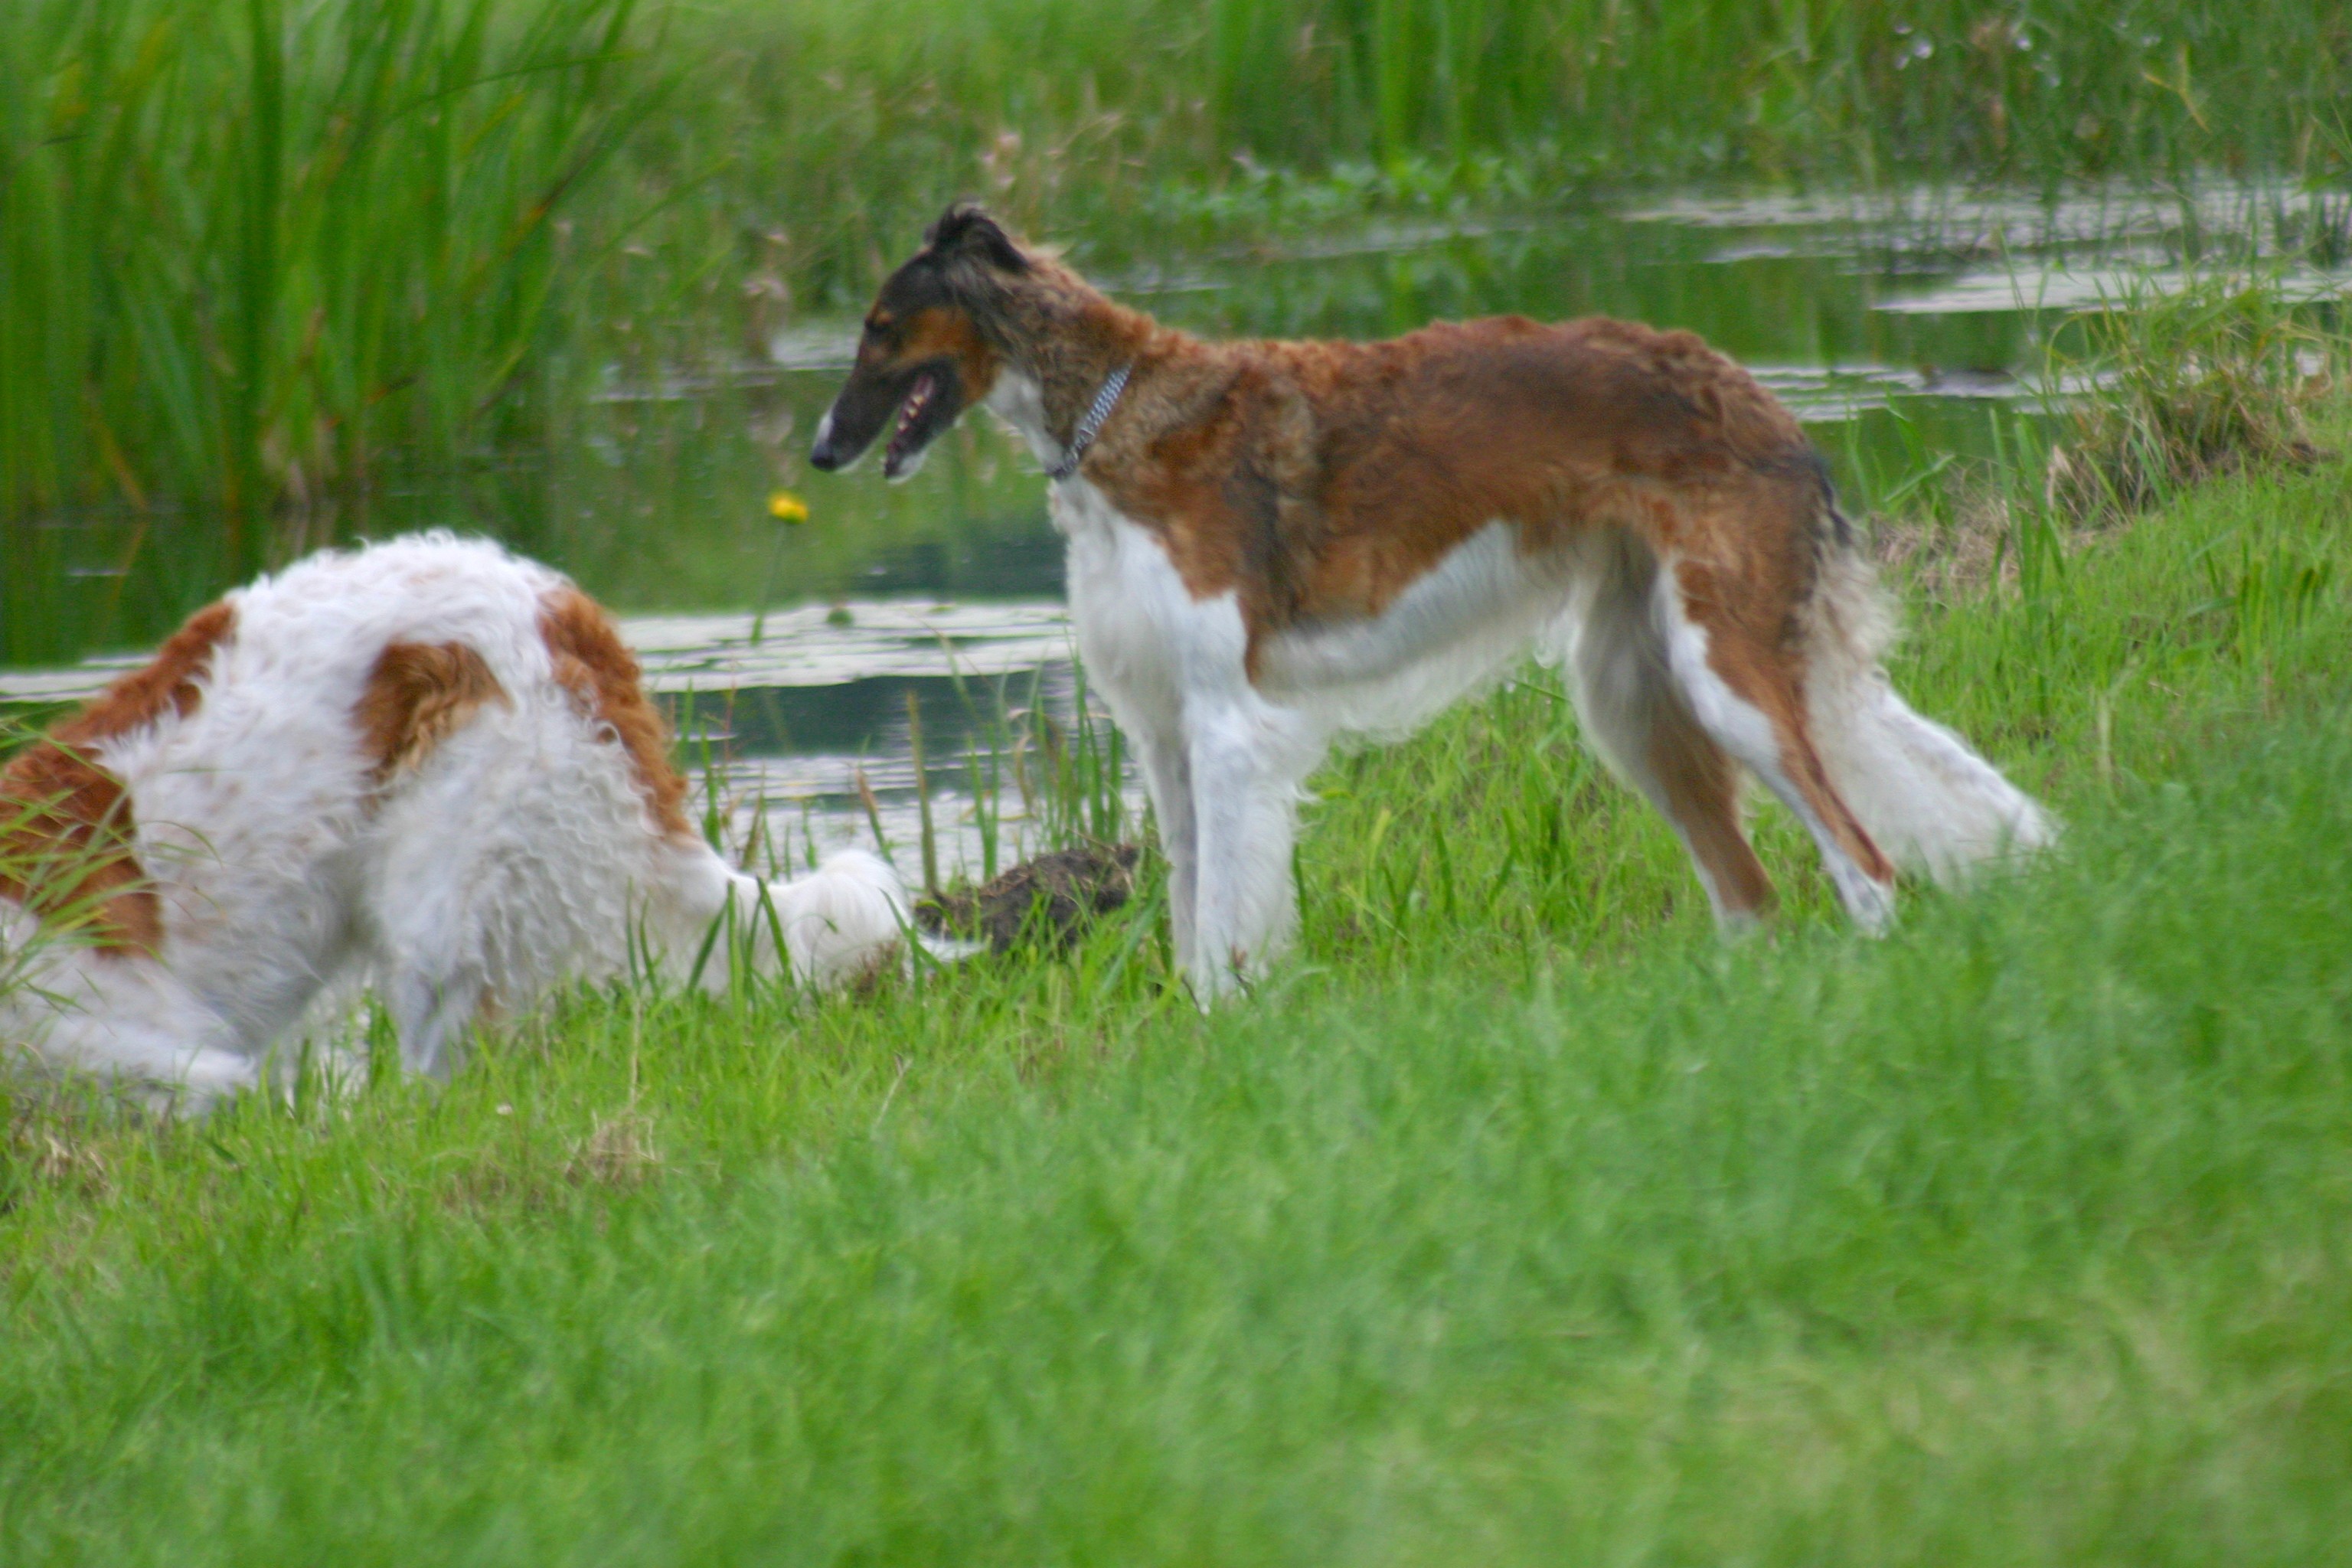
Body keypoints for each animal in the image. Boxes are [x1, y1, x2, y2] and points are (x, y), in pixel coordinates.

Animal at [810, 203, 2052, 998]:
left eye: (880, 328)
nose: (821, 452)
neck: (1117, 417)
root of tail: (1765, 401)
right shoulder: (1162, 732)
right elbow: (1189, 908)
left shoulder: (1228, 722)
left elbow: (1226, 928)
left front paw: (1234, 1030)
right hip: (1637, 698)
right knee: (1753, 895)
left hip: (1724, 677)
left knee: (1865, 866)